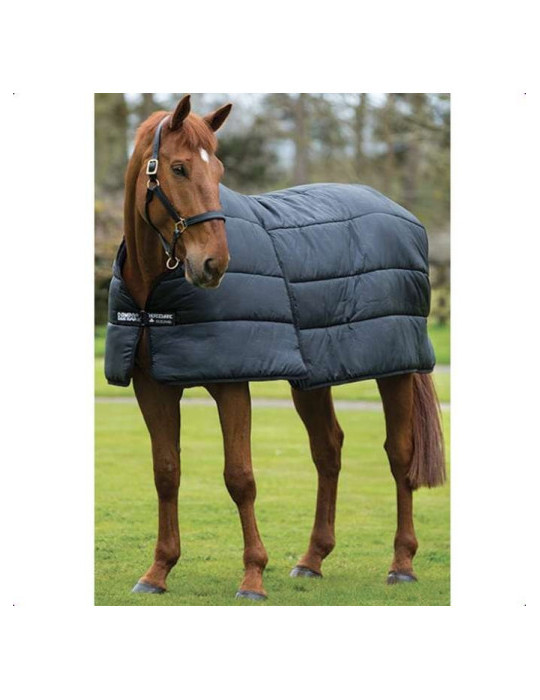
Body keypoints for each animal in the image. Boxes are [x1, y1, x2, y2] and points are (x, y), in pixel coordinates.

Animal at [108, 94, 446, 600]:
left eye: (219, 169)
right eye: (180, 168)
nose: (214, 263)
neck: (153, 291)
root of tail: (402, 215)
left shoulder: (231, 383)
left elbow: (239, 478)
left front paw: (252, 577)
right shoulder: (153, 385)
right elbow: (166, 473)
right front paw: (157, 572)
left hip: (397, 369)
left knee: (399, 454)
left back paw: (402, 563)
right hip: (314, 376)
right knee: (328, 450)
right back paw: (312, 559)